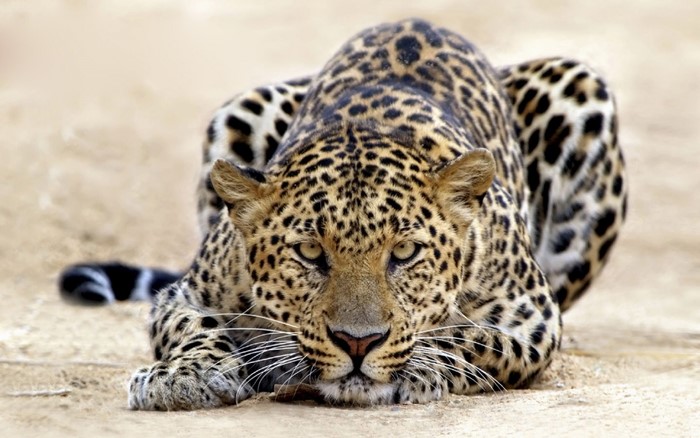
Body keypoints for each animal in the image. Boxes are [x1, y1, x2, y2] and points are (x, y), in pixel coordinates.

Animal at [60, 19, 627, 410]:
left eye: (405, 253)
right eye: (310, 253)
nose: (358, 343)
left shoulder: (532, 317)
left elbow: (467, 337)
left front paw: (417, 366)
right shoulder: (187, 293)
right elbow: (195, 327)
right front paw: (184, 376)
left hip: (581, 90)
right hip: (243, 106)